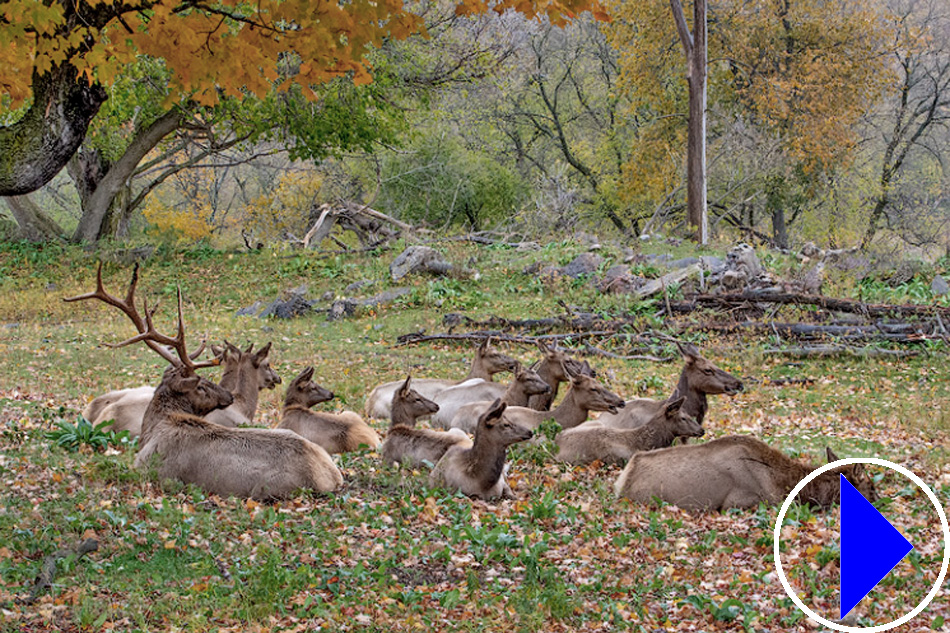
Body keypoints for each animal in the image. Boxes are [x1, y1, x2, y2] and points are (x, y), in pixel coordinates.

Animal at [65, 264, 343, 500]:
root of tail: (332, 476)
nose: (227, 396)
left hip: (266, 488)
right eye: (201, 384)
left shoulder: (149, 470)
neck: (155, 428)